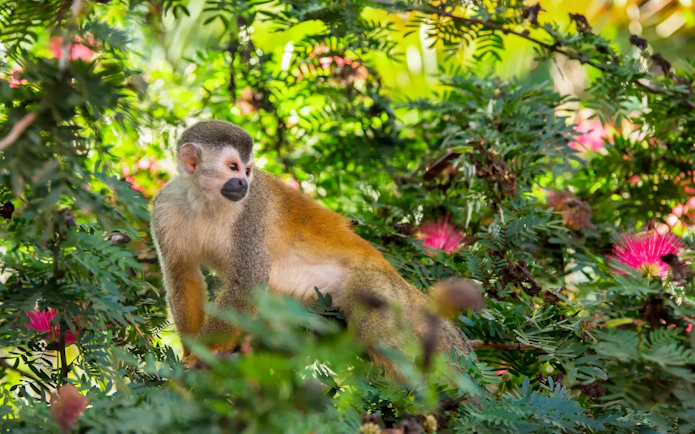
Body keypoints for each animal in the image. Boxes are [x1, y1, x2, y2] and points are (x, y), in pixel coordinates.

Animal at [151, 120, 473, 379]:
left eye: (248, 170)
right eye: (232, 167)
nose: (243, 183)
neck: (207, 201)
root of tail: (395, 277)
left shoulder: (251, 212)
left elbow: (247, 281)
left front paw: (203, 353)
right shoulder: (165, 208)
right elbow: (181, 275)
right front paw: (191, 351)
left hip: (376, 284)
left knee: (374, 329)